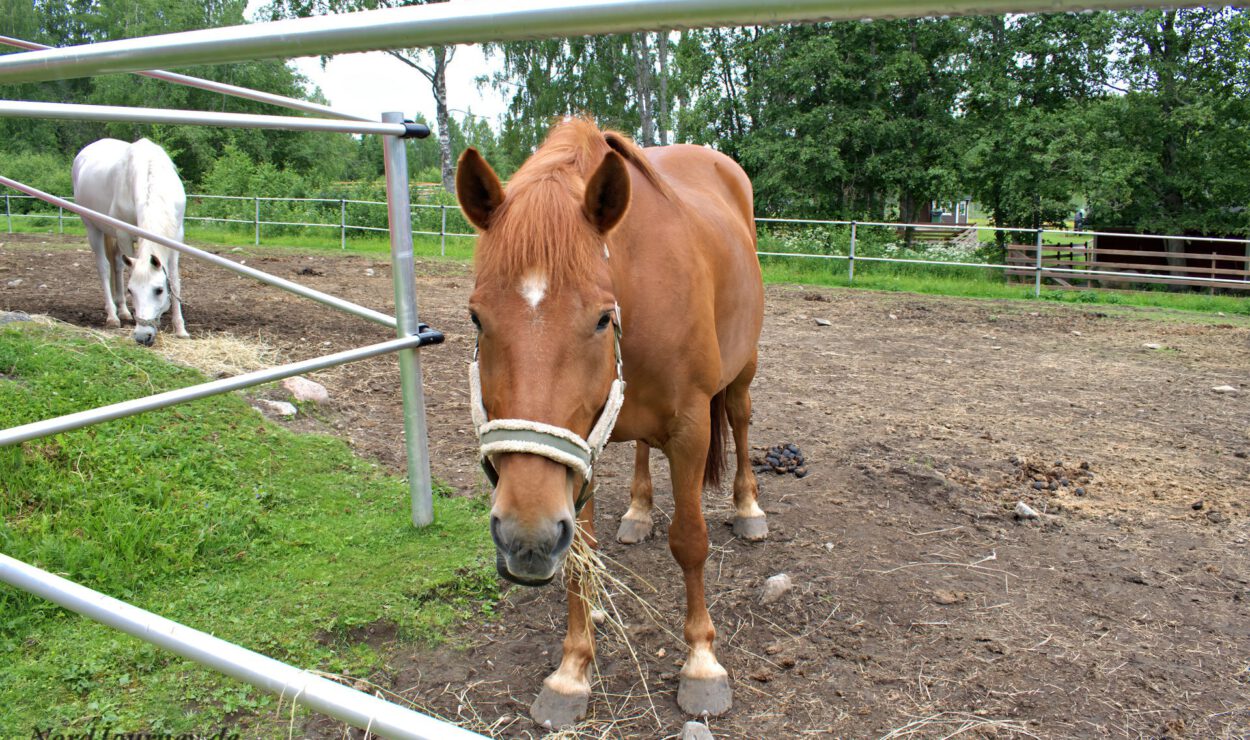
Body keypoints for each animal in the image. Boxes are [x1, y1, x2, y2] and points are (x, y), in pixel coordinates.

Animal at [70, 138, 187, 345]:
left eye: (158, 290)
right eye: (131, 290)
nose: (143, 336)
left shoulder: (176, 236)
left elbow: (174, 279)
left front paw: (180, 328)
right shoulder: (124, 234)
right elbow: (130, 272)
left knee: (117, 265)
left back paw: (123, 311)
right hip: (93, 228)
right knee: (105, 268)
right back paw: (113, 316)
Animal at [460, 118, 765, 725]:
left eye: (603, 318)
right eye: (478, 317)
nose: (524, 537)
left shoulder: (691, 428)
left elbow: (690, 541)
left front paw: (702, 664)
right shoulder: (580, 446)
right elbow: (581, 556)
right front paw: (572, 670)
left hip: (742, 369)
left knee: (740, 420)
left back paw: (748, 507)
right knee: (643, 448)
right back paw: (639, 509)